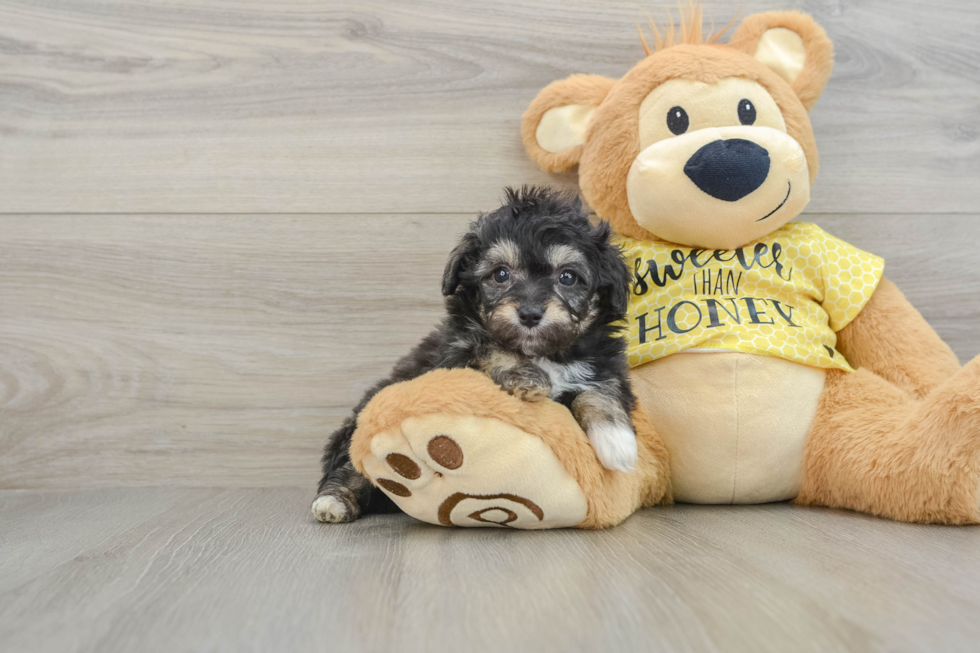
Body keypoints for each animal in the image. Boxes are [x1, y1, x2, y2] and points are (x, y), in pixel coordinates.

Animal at [314, 186, 636, 524]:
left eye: (568, 277)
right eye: (501, 274)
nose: (530, 313)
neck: (542, 353)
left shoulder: (603, 363)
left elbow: (600, 390)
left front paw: (617, 441)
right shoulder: (455, 355)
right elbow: (488, 345)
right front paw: (525, 375)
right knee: (351, 466)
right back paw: (334, 501)